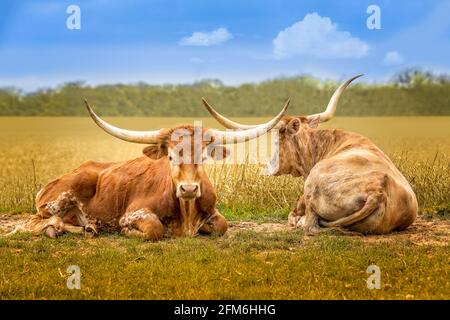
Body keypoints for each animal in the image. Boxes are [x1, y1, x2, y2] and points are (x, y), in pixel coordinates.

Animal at [10, 99, 290, 239]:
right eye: (170, 156)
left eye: (203, 156)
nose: (189, 189)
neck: (186, 212)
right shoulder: (134, 213)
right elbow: (153, 230)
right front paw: (127, 231)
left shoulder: (214, 213)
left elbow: (222, 225)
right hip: (57, 200)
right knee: (32, 223)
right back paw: (63, 228)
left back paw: (87, 228)